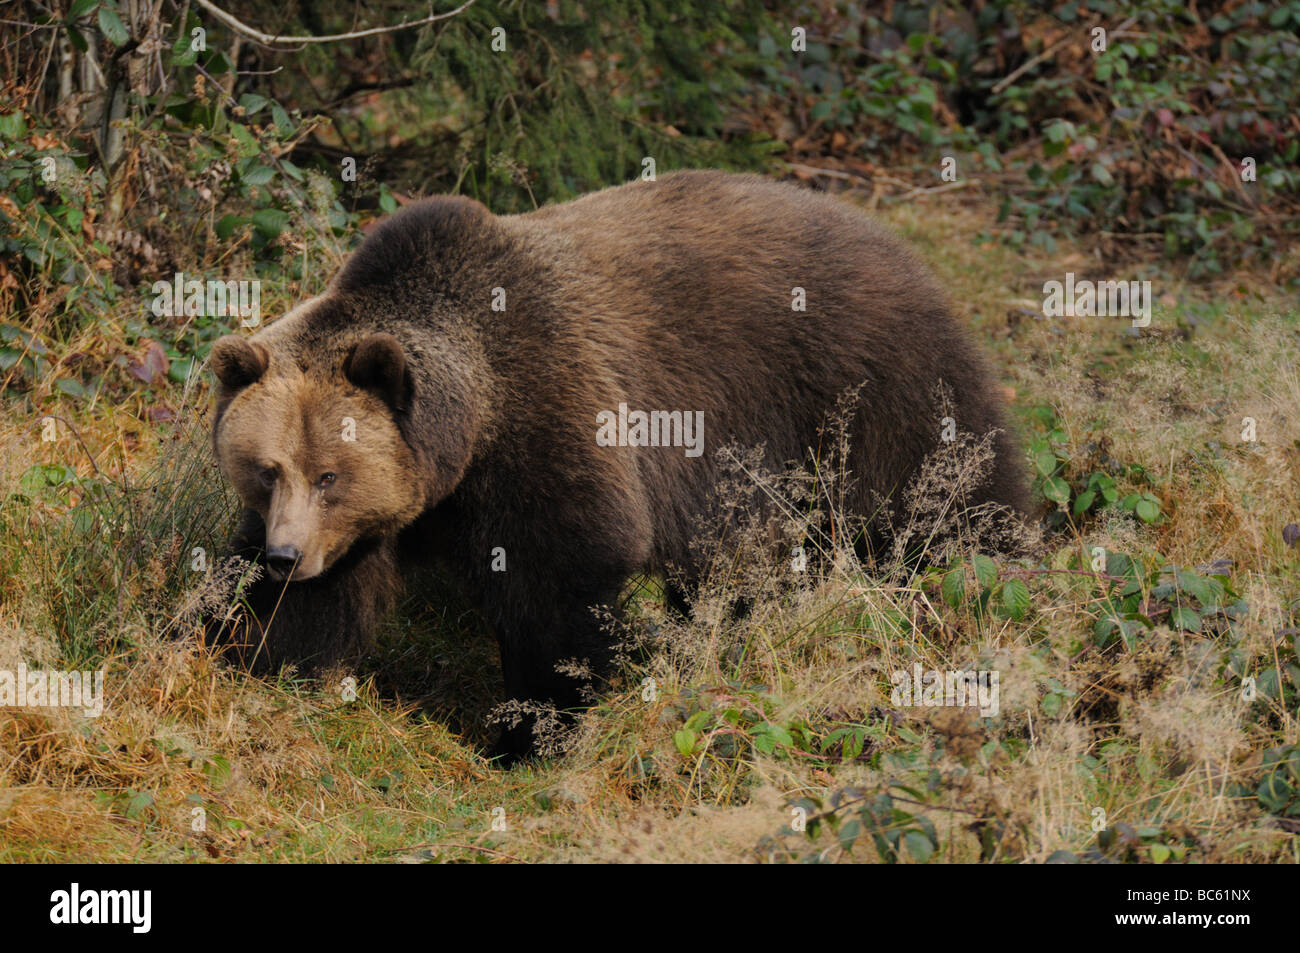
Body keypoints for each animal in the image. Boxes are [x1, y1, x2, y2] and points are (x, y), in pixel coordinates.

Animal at [206, 169, 1027, 759]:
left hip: (866, 380)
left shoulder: (550, 415)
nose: (285, 555)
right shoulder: (385, 515)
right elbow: (314, 600)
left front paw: (534, 729)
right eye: (268, 469)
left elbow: (562, 578)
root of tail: (892, 238)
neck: (467, 435)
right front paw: (261, 657)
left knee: (944, 495)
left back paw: (982, 577)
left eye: (330, 475)